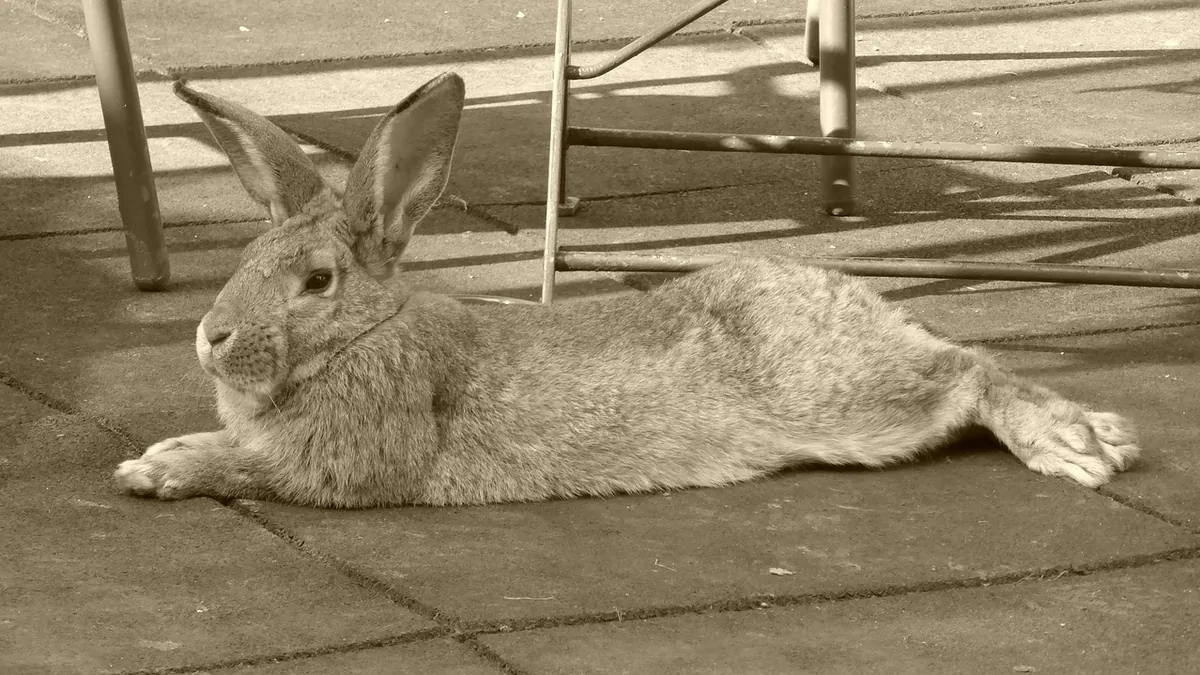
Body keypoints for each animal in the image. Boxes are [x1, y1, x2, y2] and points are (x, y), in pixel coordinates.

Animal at [113, 72, 1140, 508]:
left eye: (316, 281)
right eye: (248, 255)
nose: (208, 336)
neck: (364, 335)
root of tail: (860, 305)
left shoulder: (348, 462)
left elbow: (255, 469)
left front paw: (158, 471)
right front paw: (165, 448)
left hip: (848, 403)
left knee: (972, 371)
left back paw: (1079, 444)